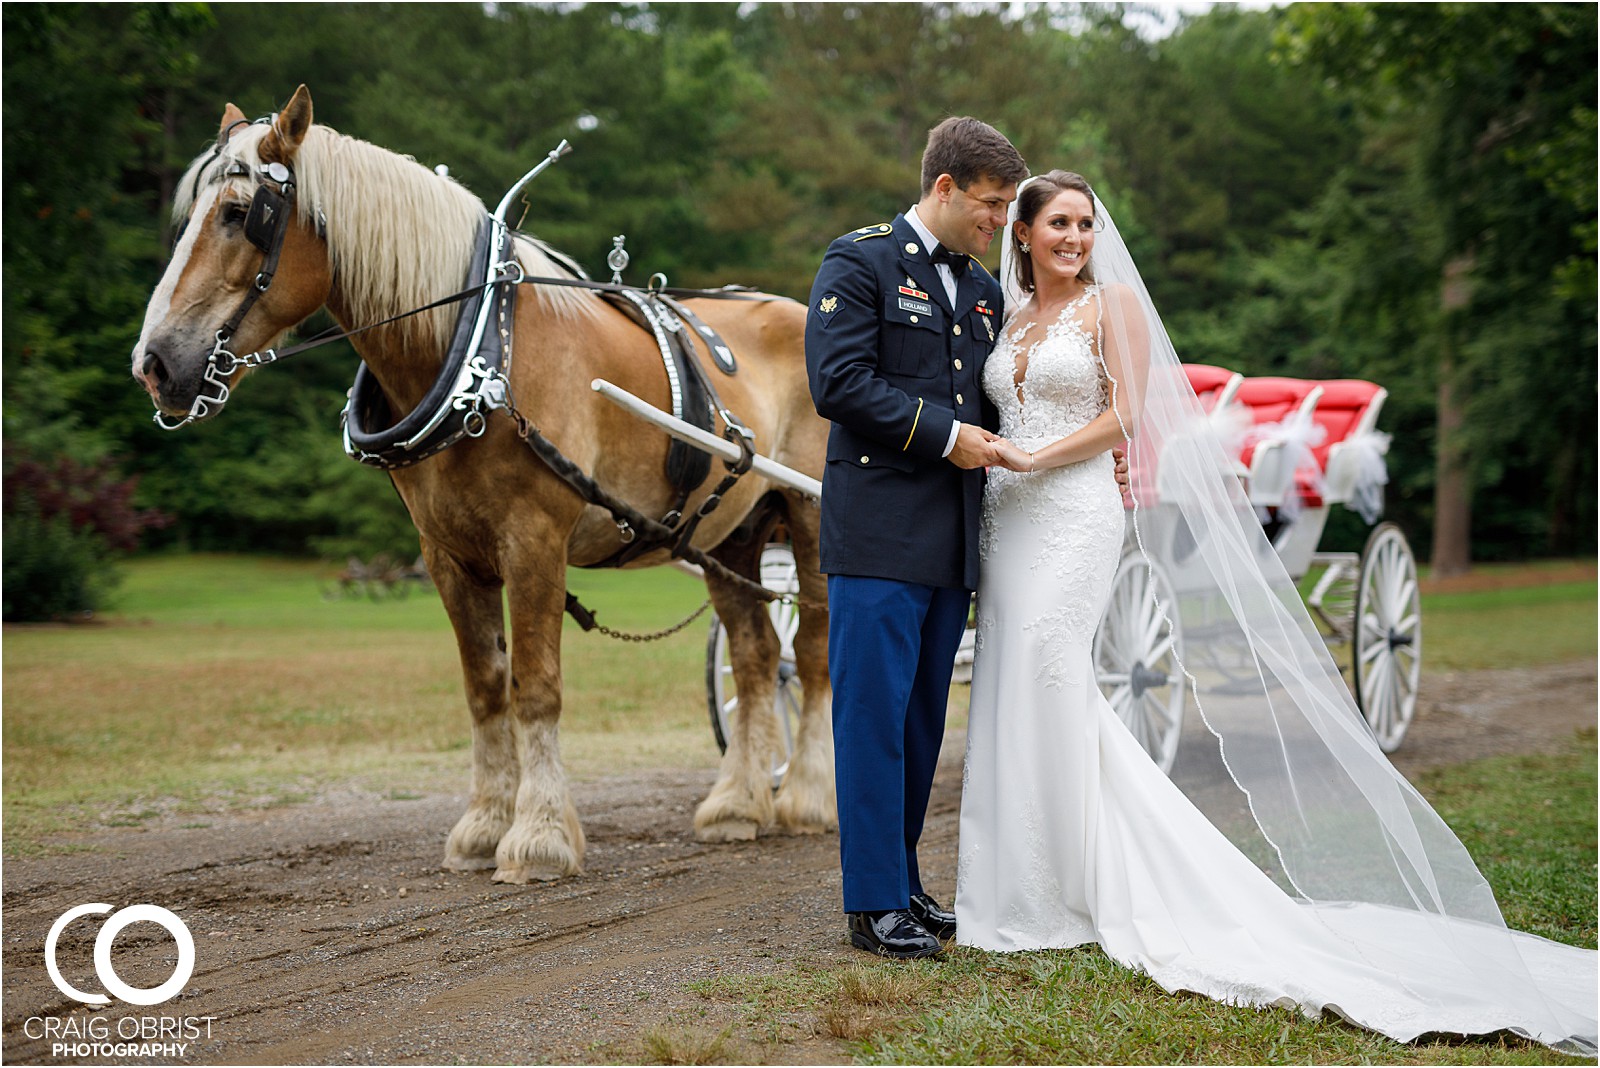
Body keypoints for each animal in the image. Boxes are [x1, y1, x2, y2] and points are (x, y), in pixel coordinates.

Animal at [134, 85, 838, 882]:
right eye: (191, 214)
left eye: (238, 214)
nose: (155, 363)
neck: (480, 350)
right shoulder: (447, 553)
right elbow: (484, 688)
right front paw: (482, 826)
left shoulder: (534, 541)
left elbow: (536, 687)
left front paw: (538, 835)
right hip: (731, 534)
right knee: (757, 659)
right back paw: (737, 804)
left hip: (809, 516)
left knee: (814, 653)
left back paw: (806, 795)